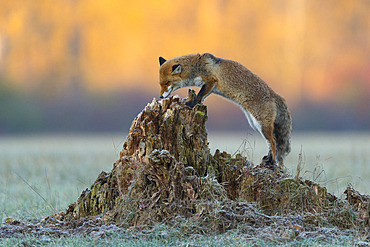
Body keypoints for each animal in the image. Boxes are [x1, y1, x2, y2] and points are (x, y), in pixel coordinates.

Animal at [158, 53, 292, 166]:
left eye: (166, 83)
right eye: (160, 84)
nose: (161, 97)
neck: (196, 66)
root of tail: (275, 94)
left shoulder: (211, 81)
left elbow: (200, 95)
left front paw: (191, 104)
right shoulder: (210, 86)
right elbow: (202, 97)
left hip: (262, 124)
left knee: (273, 142)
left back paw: (272, 162)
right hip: (255, 124)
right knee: (272, 142)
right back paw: (269, 158)